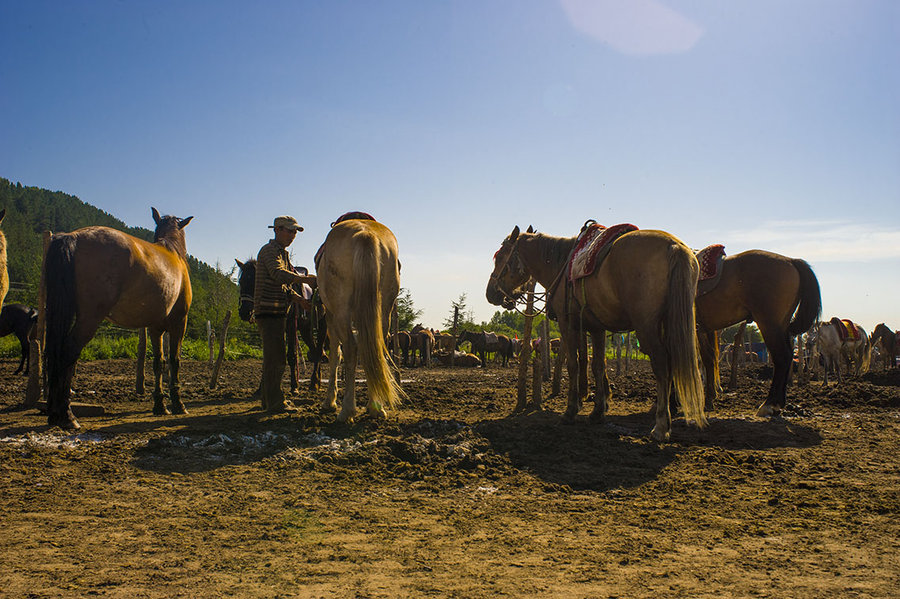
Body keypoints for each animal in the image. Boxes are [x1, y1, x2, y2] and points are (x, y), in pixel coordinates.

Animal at [42, 209, 193, 428]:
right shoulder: (179, 323)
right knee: (68, 352)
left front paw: (160, 405)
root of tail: (73, 237)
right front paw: (178, 404)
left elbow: (159, 363)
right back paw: (66, 415)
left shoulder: (155, 327)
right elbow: (175, 361)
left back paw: (55, 414)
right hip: (89, 318)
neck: (173, 253)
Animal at [314, 217, 402, 422]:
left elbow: (335, 355)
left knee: (350, 349)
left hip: (340, 312)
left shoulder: (331, 316)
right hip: (382, 311)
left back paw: (347, 410)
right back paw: (376, 407)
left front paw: (329, 401)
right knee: (376, 349)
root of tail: (365, 233)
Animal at [488, 225, 708, 440]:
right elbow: (597, 365)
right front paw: (597, 412)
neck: (561, 265)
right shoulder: (596, 328)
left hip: (647, 326)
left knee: (662, 365)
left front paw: (570, 411)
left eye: (500, 257)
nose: (490, 293)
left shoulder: (569, 325)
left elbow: (574, 364)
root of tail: (675, 247)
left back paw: (661, 426)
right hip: (670, 323)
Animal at [696, 248, 824, 418]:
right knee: (788, 355)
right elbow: (707, 359)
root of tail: (791, 260)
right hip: (780, 325)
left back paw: (769, 404)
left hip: (769, 324)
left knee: (782, 357)